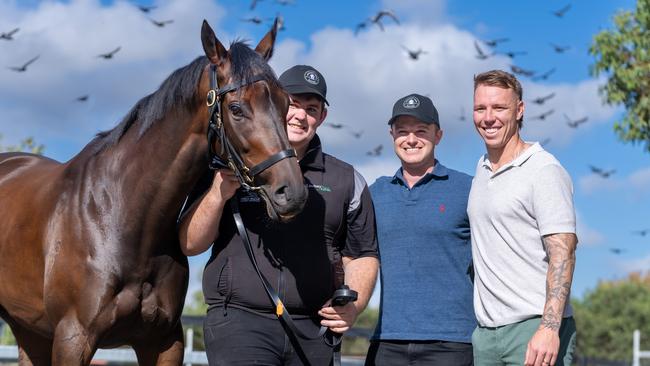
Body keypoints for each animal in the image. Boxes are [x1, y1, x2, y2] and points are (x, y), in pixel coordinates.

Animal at [0, 20, 306, 366]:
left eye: (285, 105)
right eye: (237, 109)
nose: (291, 192)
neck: (120, 217)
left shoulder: (163, 341)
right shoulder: (72, 338)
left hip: (30, 329)